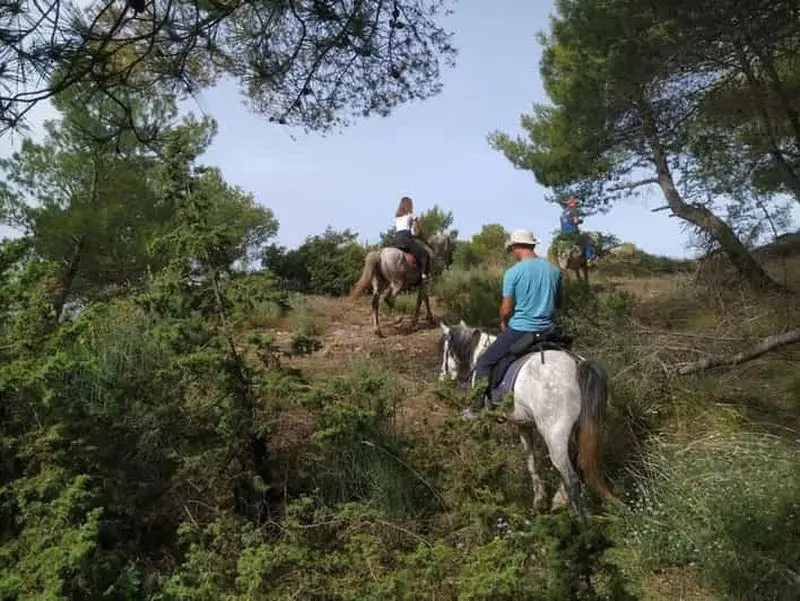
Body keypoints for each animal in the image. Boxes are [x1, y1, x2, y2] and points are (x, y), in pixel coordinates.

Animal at [437, 321, 618, 515]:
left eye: (446, 350)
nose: (441, 377)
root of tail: (577, 364)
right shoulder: (523, 424)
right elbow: (530, 459)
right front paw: (539, 498)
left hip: (555, 436)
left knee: (572, 479)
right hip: (581, 429)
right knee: (580, 463)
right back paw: (559, 499)